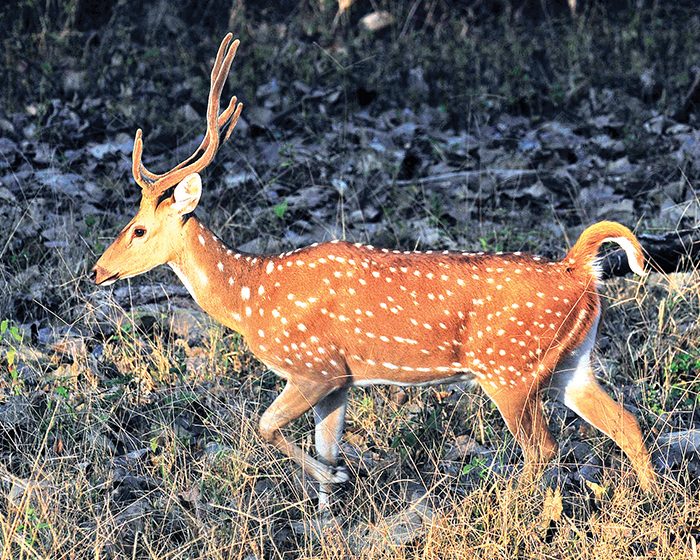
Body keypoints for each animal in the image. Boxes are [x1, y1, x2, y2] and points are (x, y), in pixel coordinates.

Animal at [93, 32, 656, 510]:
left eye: (138, 229)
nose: (98, 272)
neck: (251, 298)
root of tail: (578, 270)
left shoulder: (313, 364)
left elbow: (265, 426)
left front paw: (336, 478)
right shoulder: (340, 378)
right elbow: (323, 445)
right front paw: (328, 513)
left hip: (509, 368)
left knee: (544, 450)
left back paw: (518, 513)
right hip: (569, 363)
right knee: (626, 423)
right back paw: (651, 502)